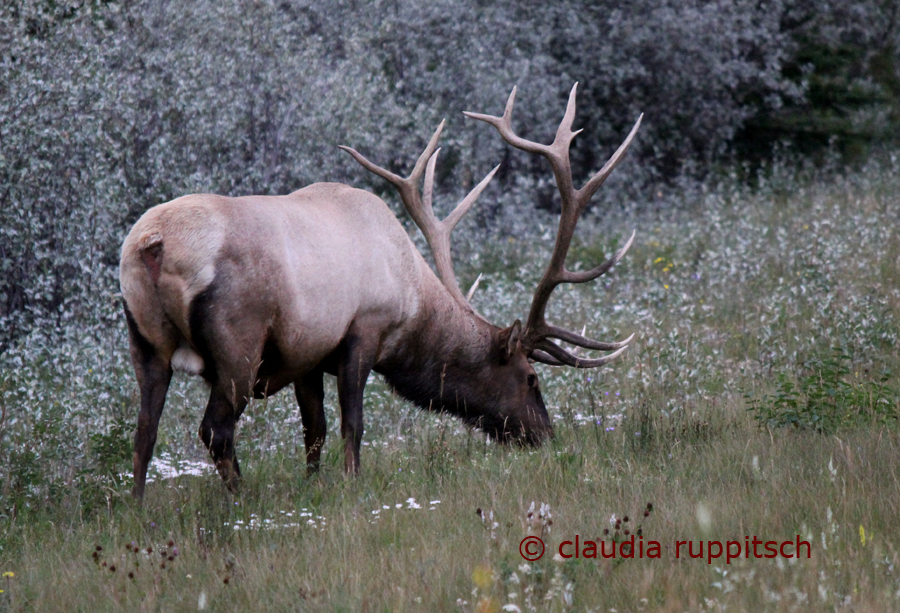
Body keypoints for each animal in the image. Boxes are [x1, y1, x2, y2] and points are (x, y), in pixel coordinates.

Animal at [119, 85, 640, 498]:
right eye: (531, 378)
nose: (545, 437)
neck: (412, 300)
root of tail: (152, 245)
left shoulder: (308, 353)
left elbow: (315, 430)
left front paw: (314, 486)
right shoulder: (363, 332)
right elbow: (353, 426)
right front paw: (351, 486)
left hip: (144, 340)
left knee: (144, 432)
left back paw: (139, 507)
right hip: (237, 344)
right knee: (215, 430)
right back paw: (242, 499)